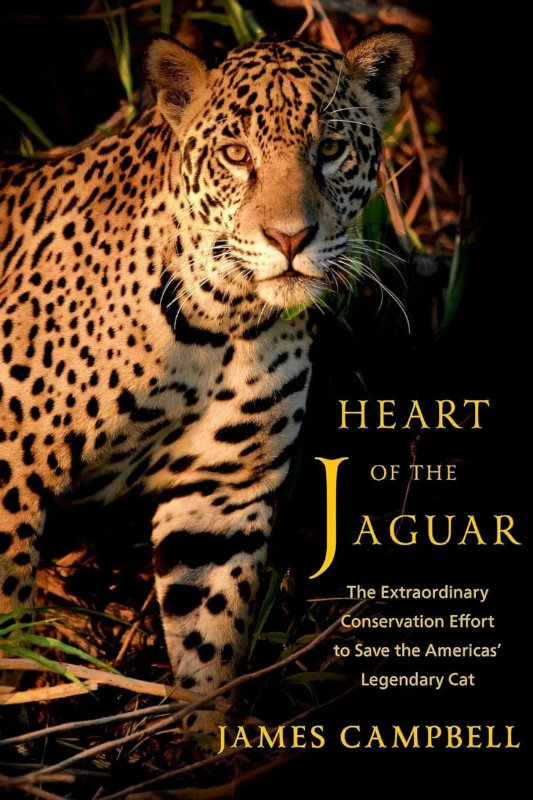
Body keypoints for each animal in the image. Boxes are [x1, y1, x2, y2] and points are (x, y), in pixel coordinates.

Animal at [0, 31, 414, 734]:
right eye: (236, 155)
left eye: (330, 149)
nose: (289, 238)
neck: (220, 321)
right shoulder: (11, 470)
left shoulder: (221, 494)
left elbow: (211, 635)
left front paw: (208, 741)